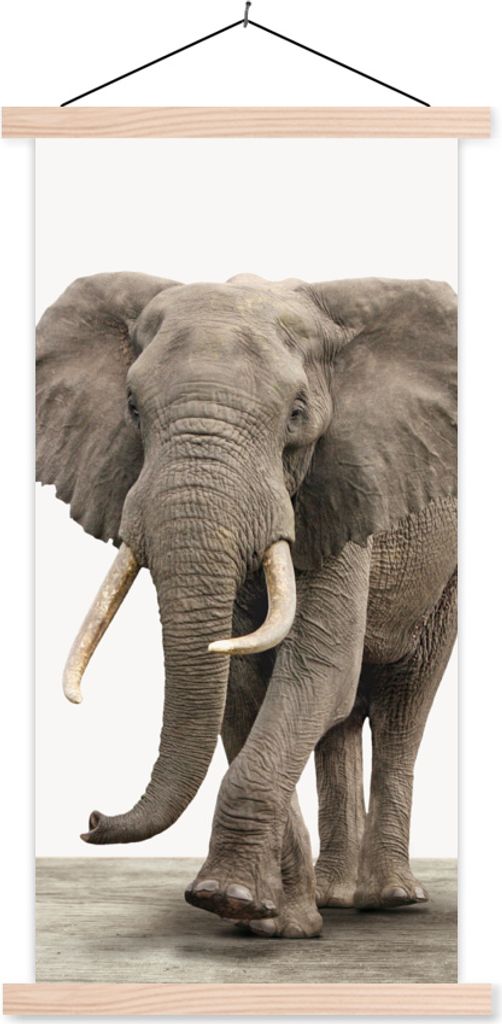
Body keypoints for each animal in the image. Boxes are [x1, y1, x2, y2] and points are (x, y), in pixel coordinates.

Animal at [36, 271, 457, 939]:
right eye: (132, 408)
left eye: (297, 413)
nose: (94, 818)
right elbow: (241, 688)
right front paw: (266, 919)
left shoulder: (342, 494)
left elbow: (316, 672)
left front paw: (231, 900)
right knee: (340, 722)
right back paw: (336, 898)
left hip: (446, 574)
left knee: (402, 703)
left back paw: (391, 898)